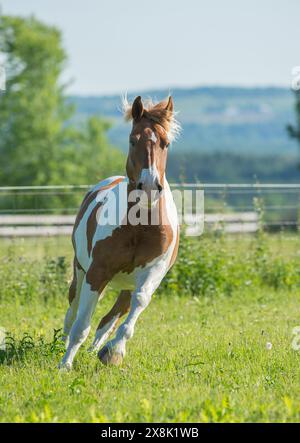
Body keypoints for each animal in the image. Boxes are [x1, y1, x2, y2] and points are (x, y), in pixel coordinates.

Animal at [59, 96, 180, 372]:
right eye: (133, 140)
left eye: (166, 143)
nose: (149, 187)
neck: (140, 226)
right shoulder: (97, 272)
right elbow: (81, 325)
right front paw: (65, 365)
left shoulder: (153, 273)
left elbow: (136, 307)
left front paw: (114, 352)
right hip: (81, 271)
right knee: (73, 311)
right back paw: (63, 346)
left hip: (126, 285)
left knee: (109, 318)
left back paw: (96, 349)